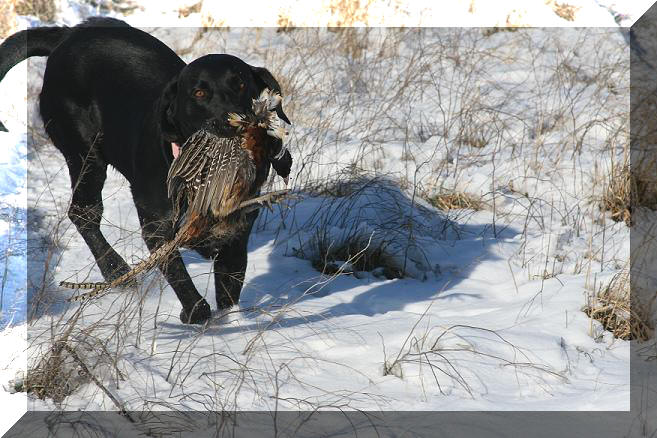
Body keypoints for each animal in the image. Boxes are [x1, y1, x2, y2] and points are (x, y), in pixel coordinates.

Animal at [0, 18, 292, 324]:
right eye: (199, 93)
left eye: (241, 84)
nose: (233, 121)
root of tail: (68, 36)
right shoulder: (157, 225)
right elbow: (181, 279)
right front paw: (193, 312)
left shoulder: (236, 235)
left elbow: (228, 293)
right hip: (85, 156)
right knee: (84, 213)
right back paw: (116, 270)